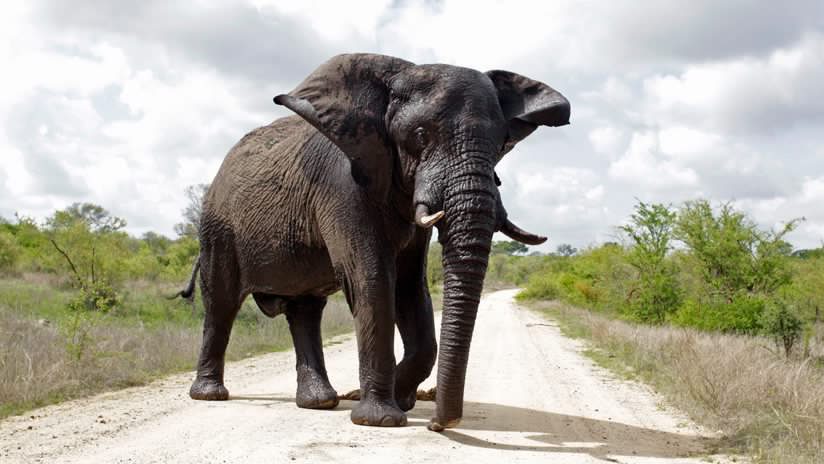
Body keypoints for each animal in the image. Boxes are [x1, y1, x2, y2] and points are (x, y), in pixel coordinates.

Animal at [176, 53, 570, 430]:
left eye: (503, 143)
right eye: (421, 134)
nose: (439, 425)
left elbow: (411, 288)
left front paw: (399, 400)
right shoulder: (342, 186)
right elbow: (374, 281)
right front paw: (381, 419)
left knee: (304, 310)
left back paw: (321, 402)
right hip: (218, 228)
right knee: (221, 303)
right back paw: (211, 395)